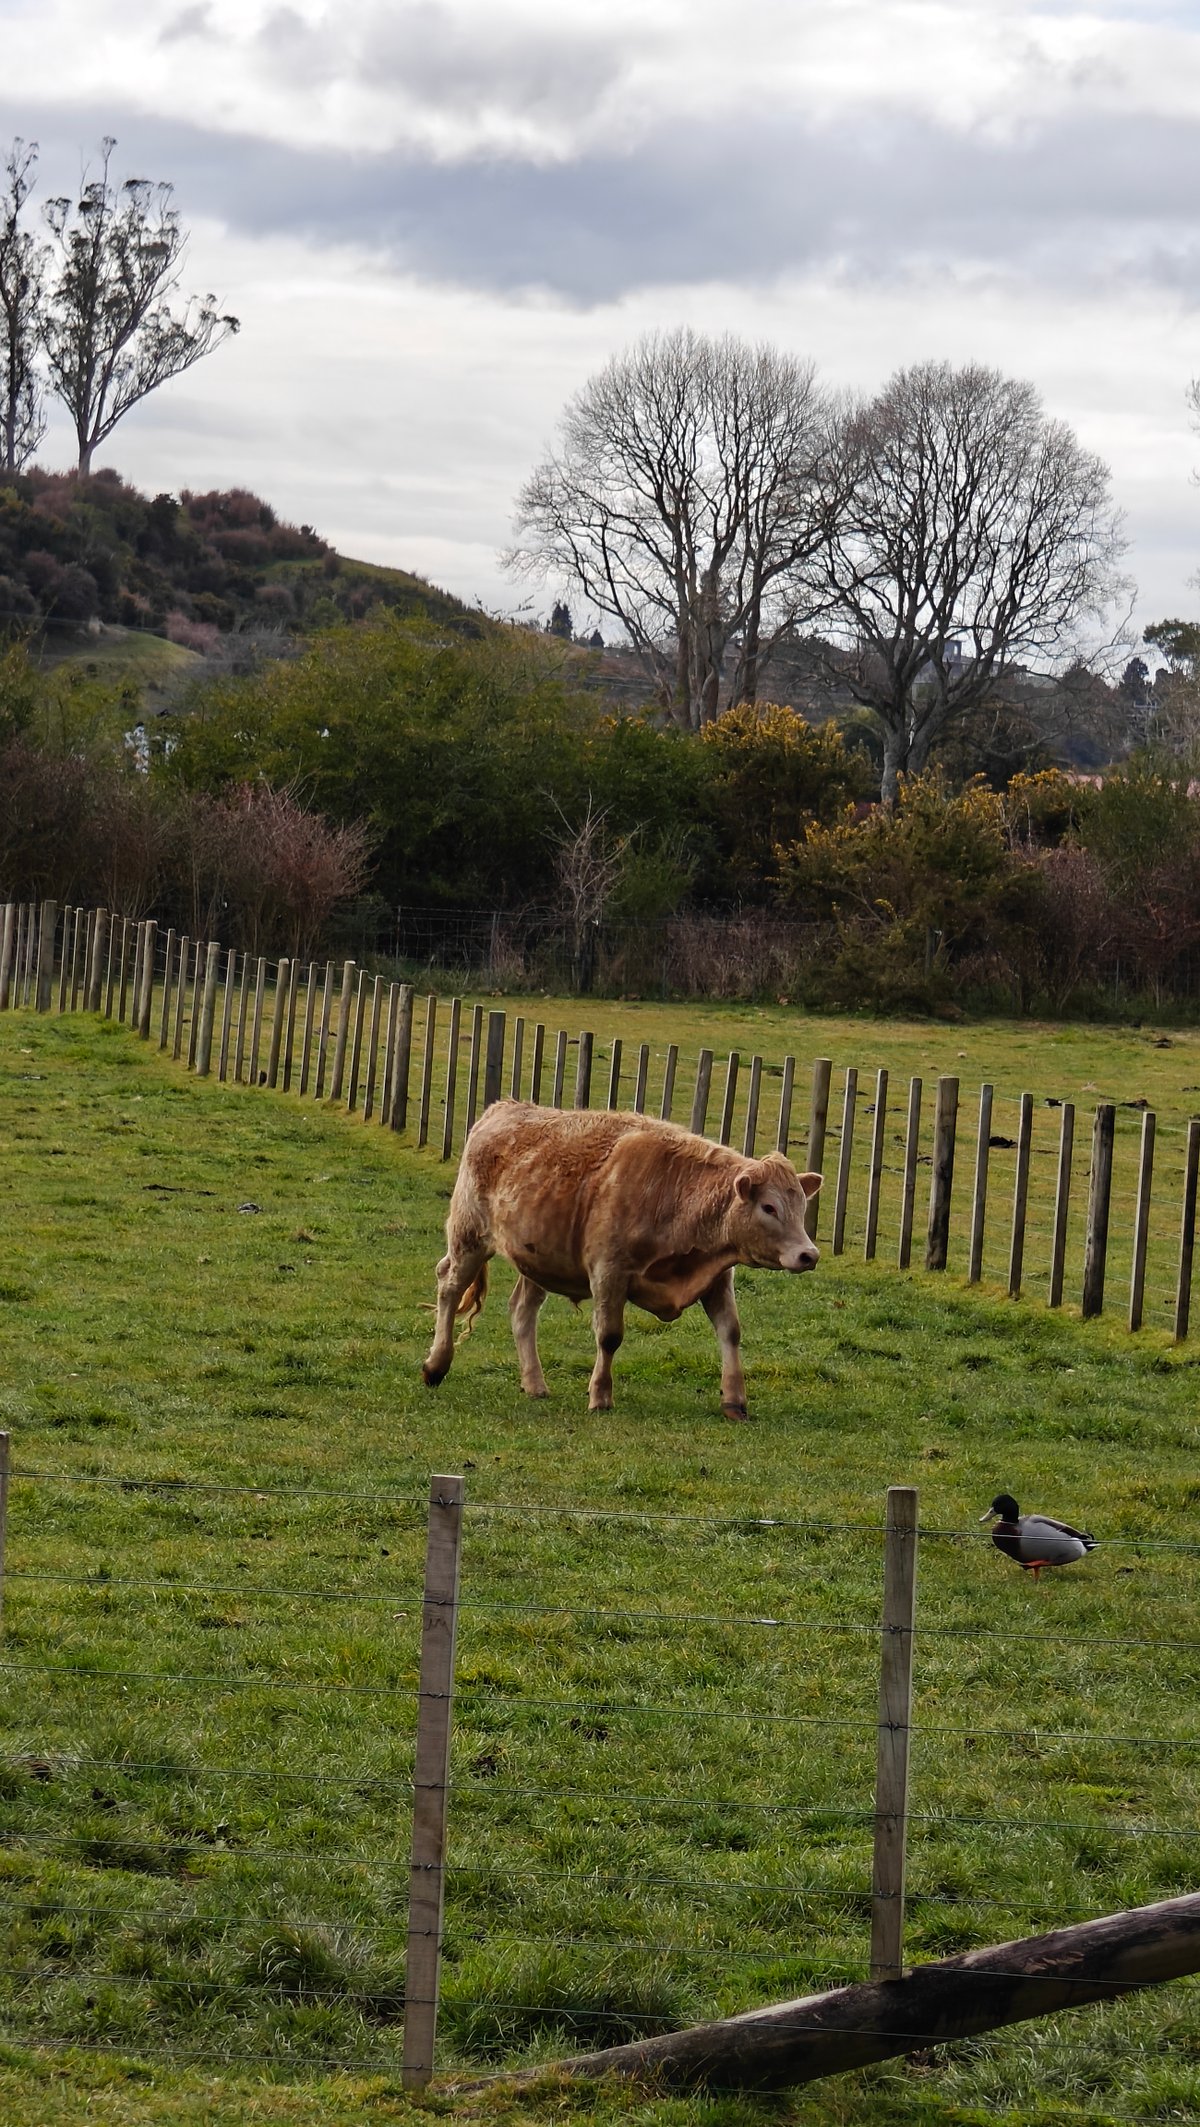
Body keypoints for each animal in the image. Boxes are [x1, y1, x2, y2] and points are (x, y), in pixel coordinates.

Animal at [421, 1100, 822, 1419]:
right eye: (769, 1207)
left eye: (801, 1205)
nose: (809, 1254)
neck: (674, 1193)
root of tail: (503, 1107)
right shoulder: (609, 1272)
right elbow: (609, 1336)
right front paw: (600, 1396)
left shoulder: (717, 1279)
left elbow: (731, 1332)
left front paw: (735, 1400)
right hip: (469, 1236)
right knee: (449, 1286)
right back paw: (436, 1364)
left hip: (537, 1260)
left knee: (522, 1310)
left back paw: (535, 1384)